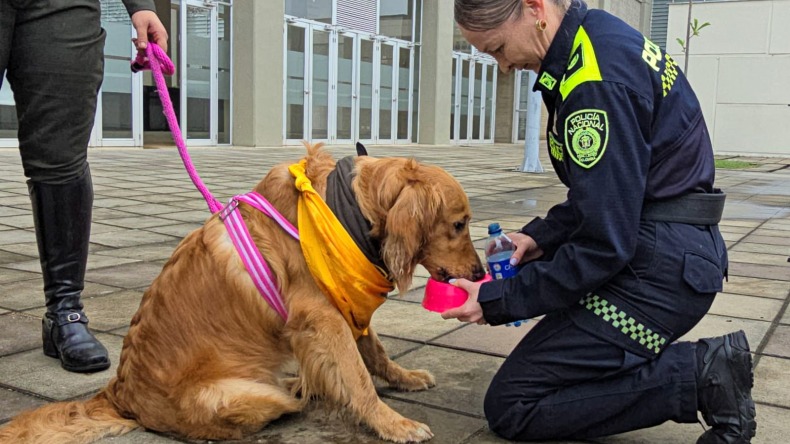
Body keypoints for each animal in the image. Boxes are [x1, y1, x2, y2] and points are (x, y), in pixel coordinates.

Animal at [0, 144, 486, 442]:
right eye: (459, 224)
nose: (481, 271)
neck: (342, 211)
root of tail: (122, 395)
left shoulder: (341, 305)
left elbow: (375, 352)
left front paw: (404, 379)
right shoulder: (322, 318)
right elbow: (358, 378)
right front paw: (394, 423)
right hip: (242, 396)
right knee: (281, 402)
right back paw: (299, 387)